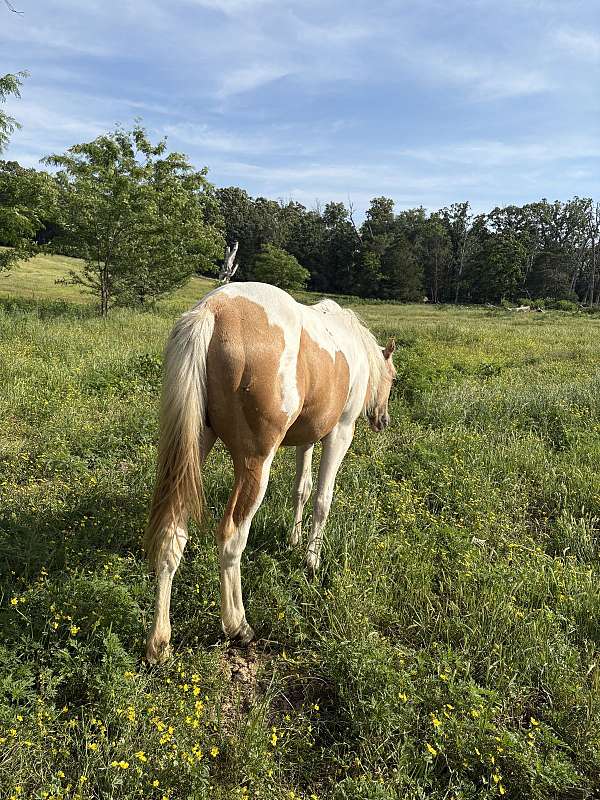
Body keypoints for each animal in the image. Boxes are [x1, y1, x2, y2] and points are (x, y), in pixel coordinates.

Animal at [144, 281, 396, 663]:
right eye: (393, 379)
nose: (383, 420)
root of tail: (213, 310)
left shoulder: (307, 438)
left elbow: (301, 489)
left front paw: (293, 540)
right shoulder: (339, 433)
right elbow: (322, 499)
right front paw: (311, 561)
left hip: (192, 452)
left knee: (172, 532)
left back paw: (159, 643)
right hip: (256, 463)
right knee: (232, 536)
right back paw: (238, 626)